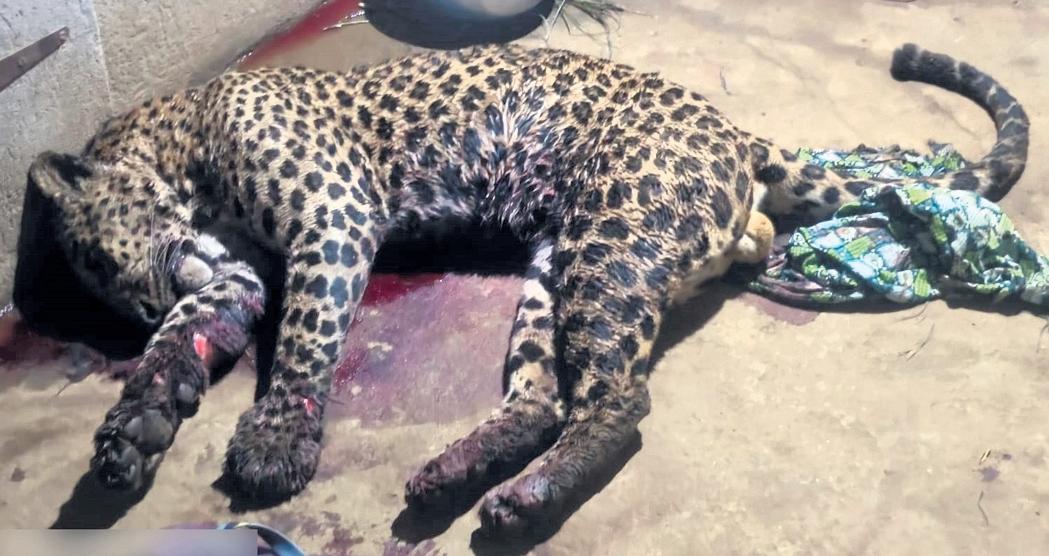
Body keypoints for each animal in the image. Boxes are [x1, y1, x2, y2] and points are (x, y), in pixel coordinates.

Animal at [14, 42, 1028, 536]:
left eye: (98, 265)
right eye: (106, 291)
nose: (137, 303)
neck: (184, 144)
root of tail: (738, 134)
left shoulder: (333, 220)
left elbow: (301, 337)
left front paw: (270, 443)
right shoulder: (232, 275)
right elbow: (179, 343)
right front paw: (134, 430)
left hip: (609, 240)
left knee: (618, 402)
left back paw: (524, 500)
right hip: (556, 267)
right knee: (545, 397)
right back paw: (458, 472)